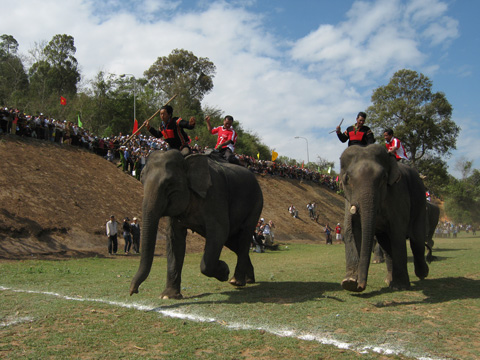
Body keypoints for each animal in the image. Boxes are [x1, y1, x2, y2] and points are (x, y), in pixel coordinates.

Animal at [129, 149, 264, 298]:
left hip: (256, 204)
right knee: (234, 243)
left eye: (169, 184)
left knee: (244, 236)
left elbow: (219, 232)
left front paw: (224, 271)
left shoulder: (215, 195)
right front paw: (168, 296)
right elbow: (174, 239)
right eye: (141, 179)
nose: (133, 291)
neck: (187, 159)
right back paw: (248, 279)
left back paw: (236, 281)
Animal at [340, 144, 430, 292]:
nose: (361, 286)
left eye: (383, 177)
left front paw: (400, 286)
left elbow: (397, 233)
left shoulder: (398, 195)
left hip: (421, 202)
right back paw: (389, 280)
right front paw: (349, 283)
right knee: (386, 244)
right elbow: (350, 230)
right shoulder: (348, 200)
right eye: (347, 178)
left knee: (417, 240)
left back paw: (422, 274)